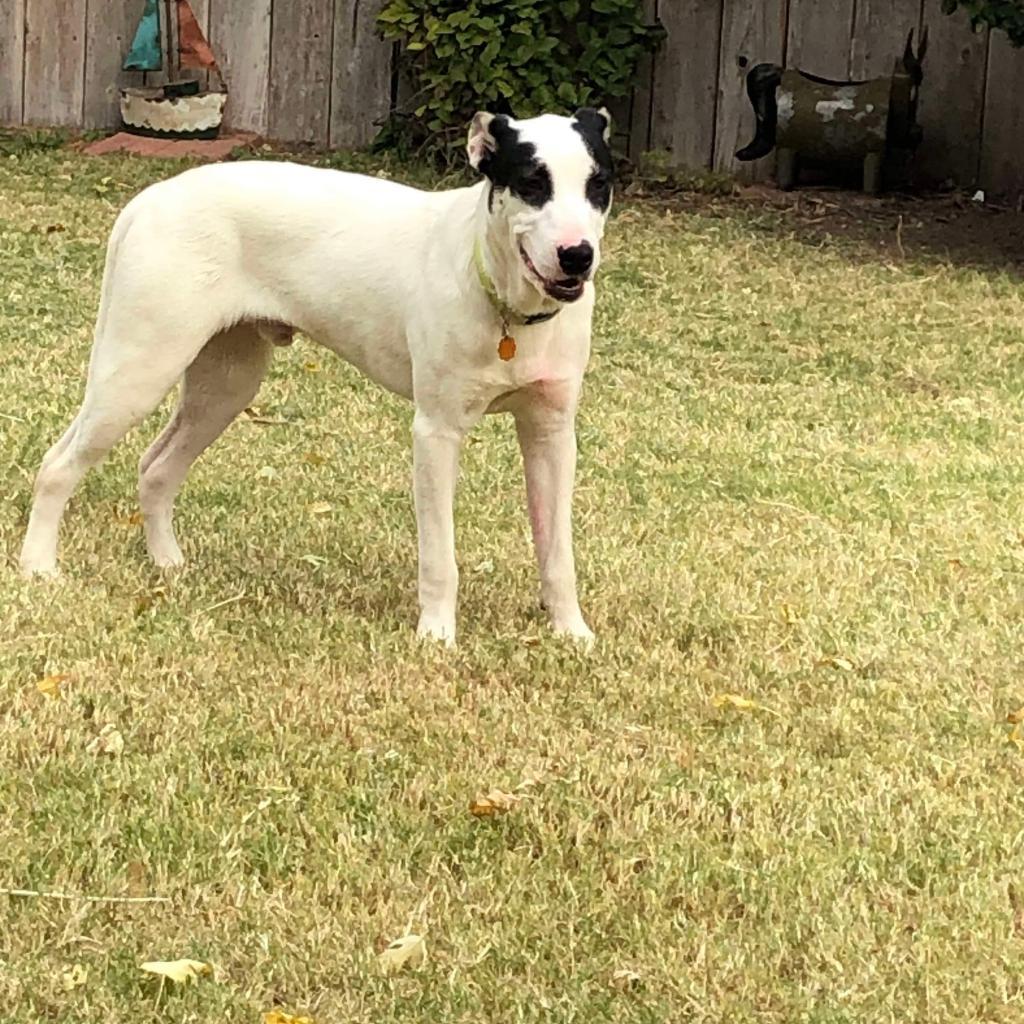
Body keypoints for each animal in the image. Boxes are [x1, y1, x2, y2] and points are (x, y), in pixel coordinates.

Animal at [19, 105, 614, 647]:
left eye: (598, 185)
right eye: (532, 182)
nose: (577, 256)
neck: (503, 299)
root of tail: (153, 198)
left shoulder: (552, 434)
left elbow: (558, 552)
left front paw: (572, 632)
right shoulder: (437, 433)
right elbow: (440, 556)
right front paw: (437, 636)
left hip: (224, 385)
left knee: (156, 467)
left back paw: (167, 562)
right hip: (138, 370)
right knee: (58, 466)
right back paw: (38, 566)